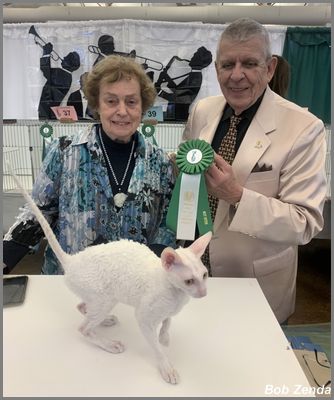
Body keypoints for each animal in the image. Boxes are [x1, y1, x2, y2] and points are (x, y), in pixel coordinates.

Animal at [10, 166, 211, 384]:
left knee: (82, 307)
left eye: (205, 275)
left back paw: (104, 320)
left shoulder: (168, 311)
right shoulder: (144, 316)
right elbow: (156, 346)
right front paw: (166, 367)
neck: (177, 295)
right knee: (83, 328)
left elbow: (168, 321)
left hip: (103, 298)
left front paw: (164, 337)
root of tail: (73, 260)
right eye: (189, 281)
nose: (204, 293)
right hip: (103, 296)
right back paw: (110, 343)